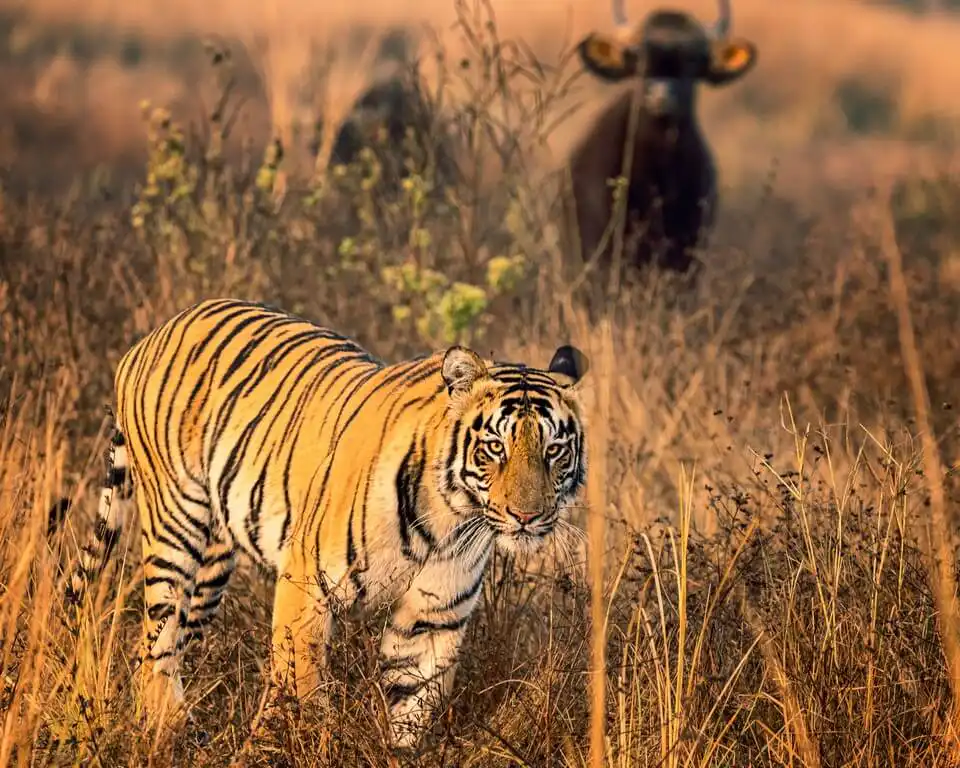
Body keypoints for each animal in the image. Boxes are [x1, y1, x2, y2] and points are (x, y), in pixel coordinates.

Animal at [65, 297, 589, 749]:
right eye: (495, 447)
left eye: (553, 450)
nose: (527, 516)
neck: (451, 522)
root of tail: (149, 337)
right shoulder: (306, 586)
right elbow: (303, 689)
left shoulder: (434, 616)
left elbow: (413, 710)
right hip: (175, 527)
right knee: (156, 638)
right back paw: (166, 729)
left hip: (213, 564)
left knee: (167, 642)